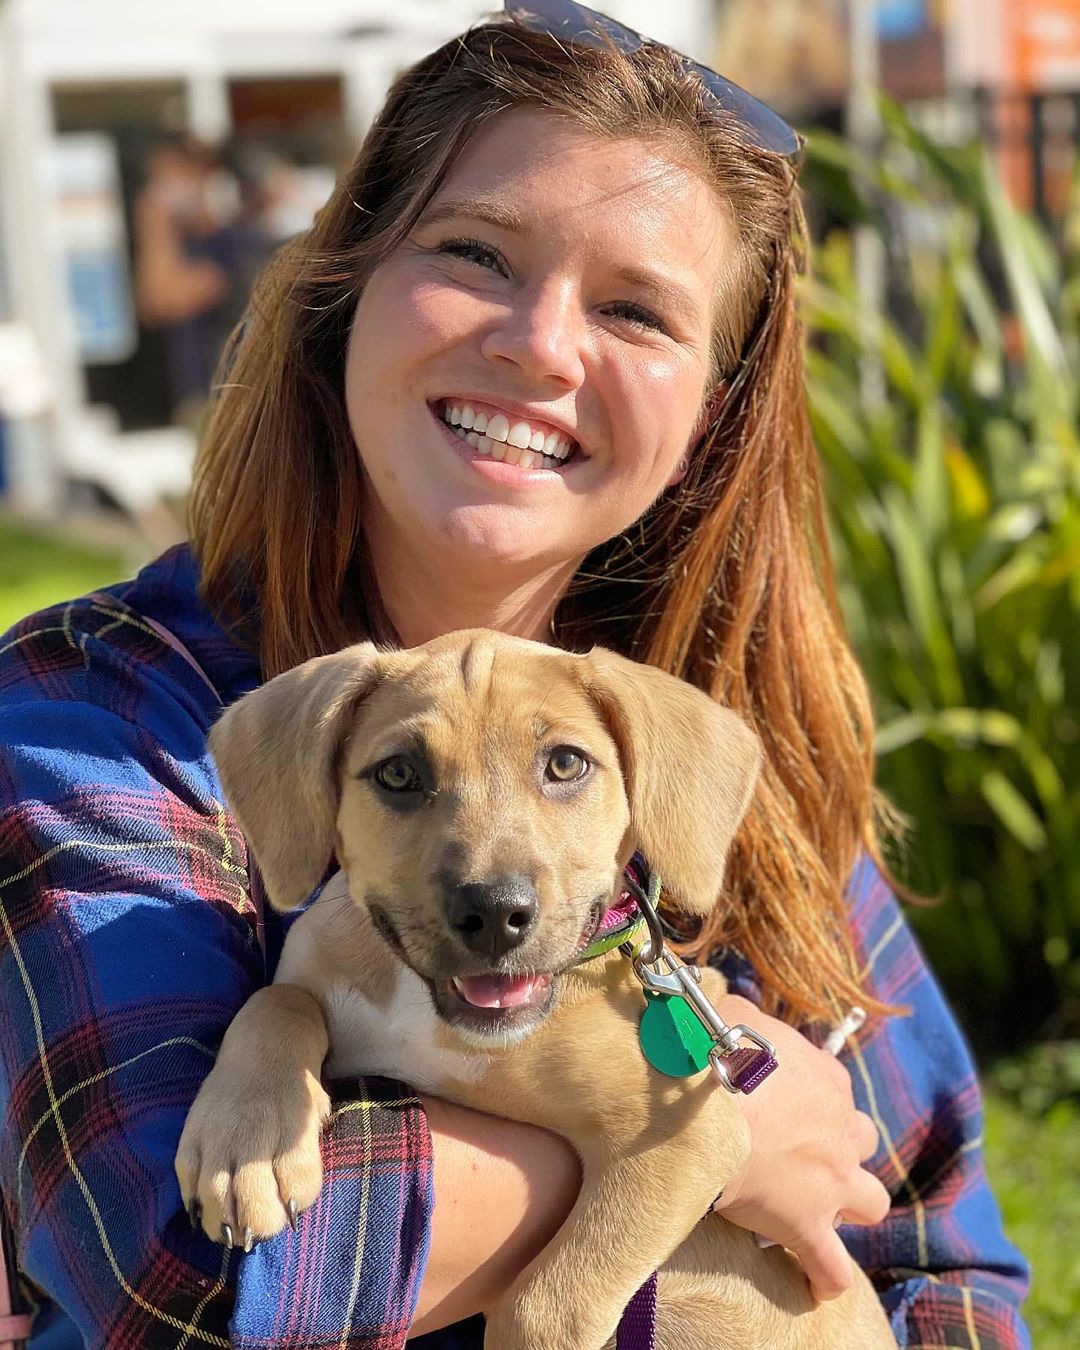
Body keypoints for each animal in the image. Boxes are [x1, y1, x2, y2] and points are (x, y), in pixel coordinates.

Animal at [176, 631, 896, 1350]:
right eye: (399, 774)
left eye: (566, 764)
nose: (494, 912)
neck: (432, 1018)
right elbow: (279, 1000)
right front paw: (249, 1143)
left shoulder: (685, 1136)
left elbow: (544, 1304)